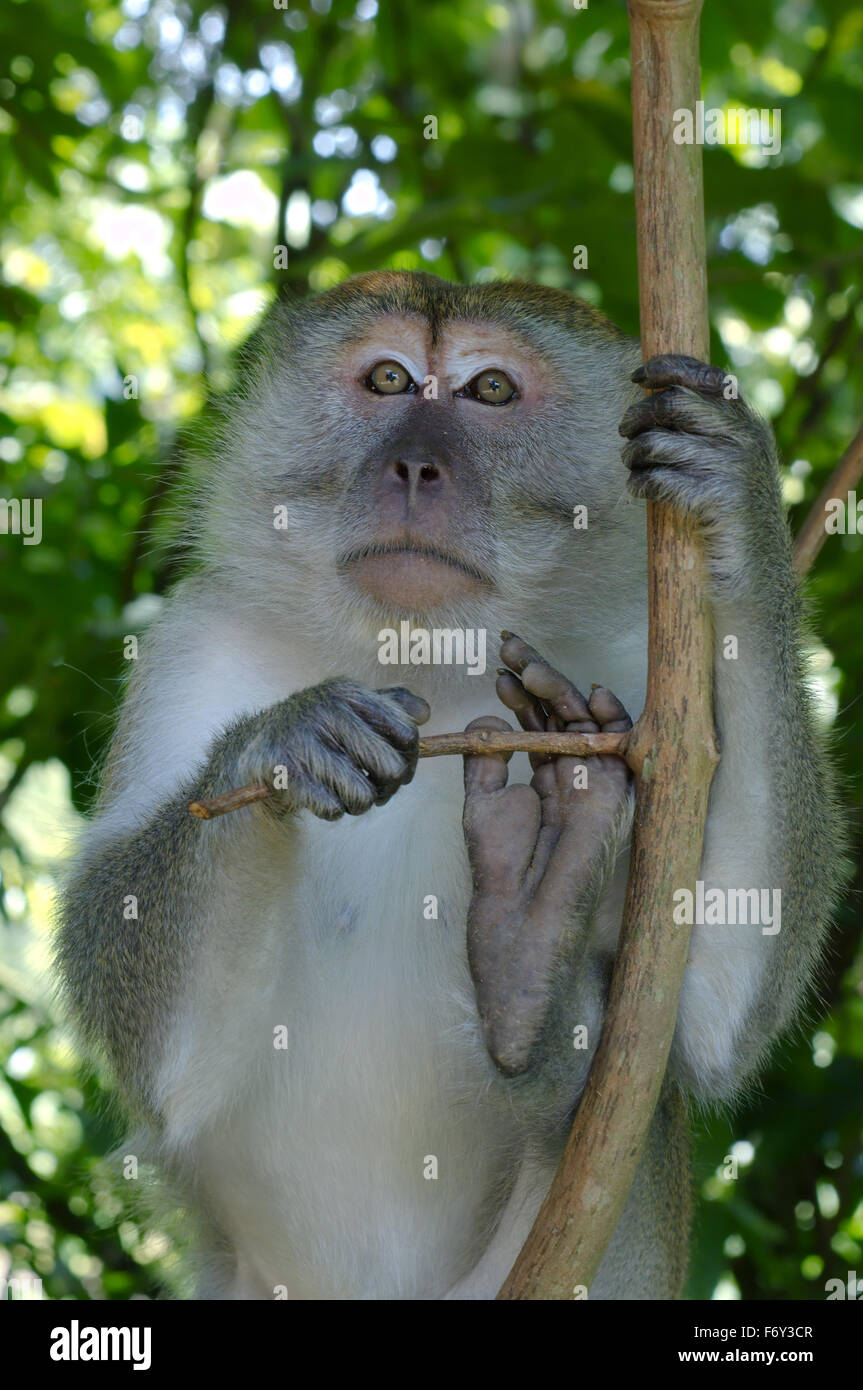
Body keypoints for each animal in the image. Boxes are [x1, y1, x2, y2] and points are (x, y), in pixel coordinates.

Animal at [57, 271, 848, 1300]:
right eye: (390, 379)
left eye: (490, 392)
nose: (415, 468)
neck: (423, 655)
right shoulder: (192, 638)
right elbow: (160, 1051)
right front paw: (284, 741)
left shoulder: (644, 676)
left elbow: (709, 1022)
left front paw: (739, 509)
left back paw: (529, 969)